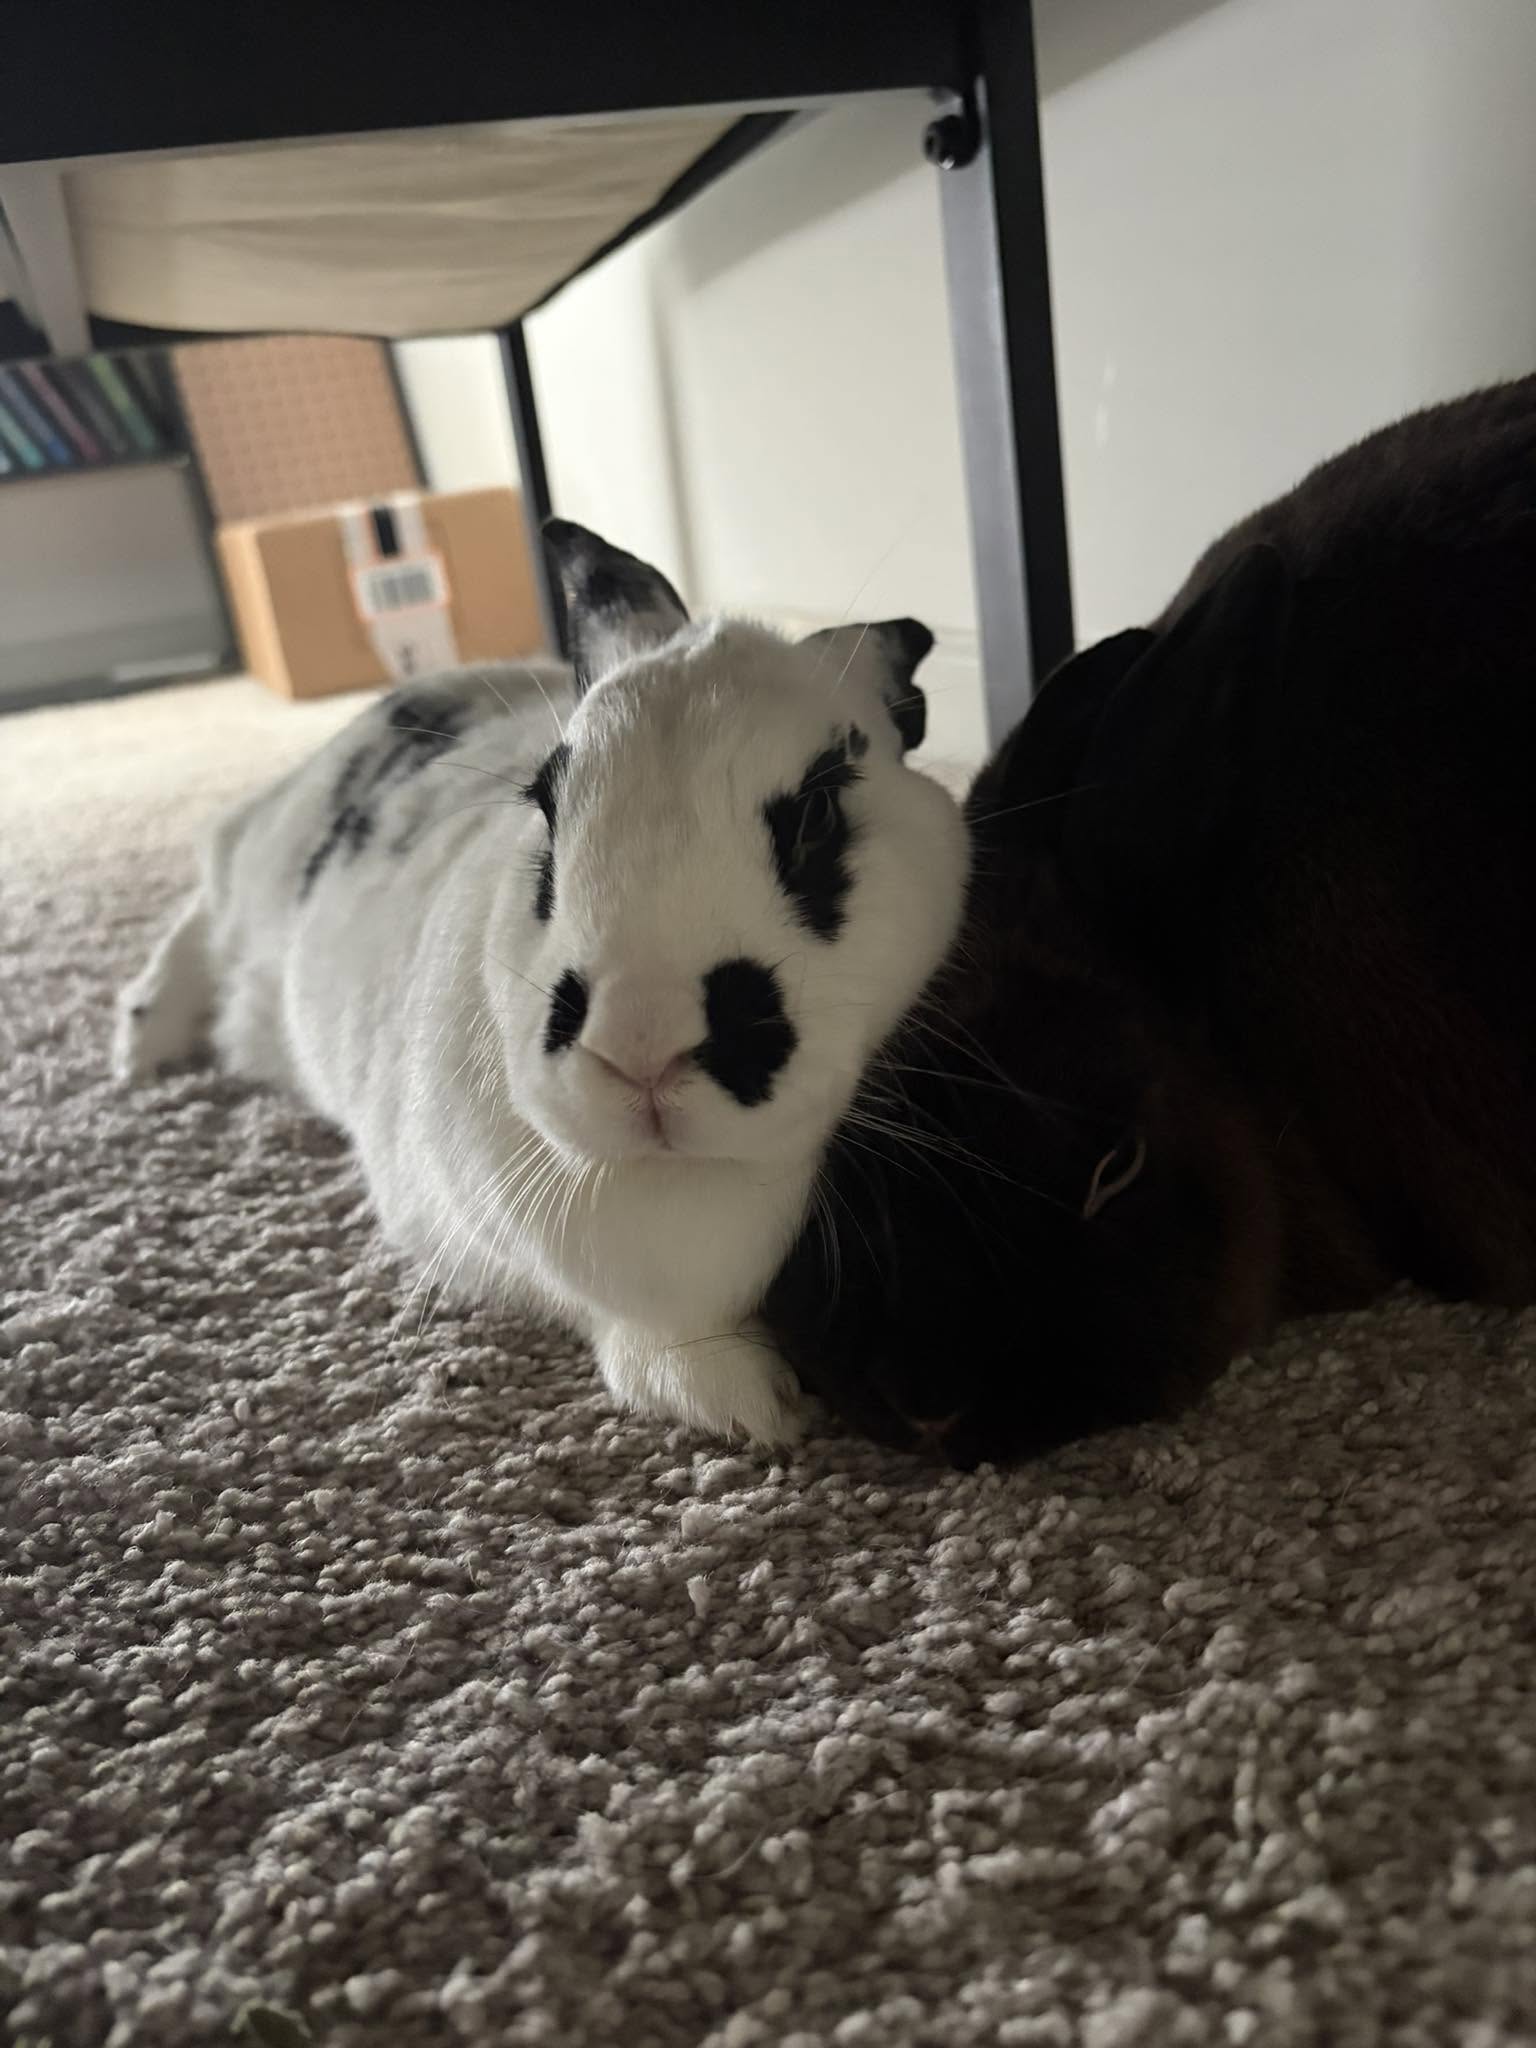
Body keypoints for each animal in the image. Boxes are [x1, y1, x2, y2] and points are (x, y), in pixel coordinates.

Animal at [116, 520, 969, 1444]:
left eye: (816, 816)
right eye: (548, 813)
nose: (640, 1051)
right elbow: (657, 1342)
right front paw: (761, 1409)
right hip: (257, 871)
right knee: (204, 899)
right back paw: (140, 1044)